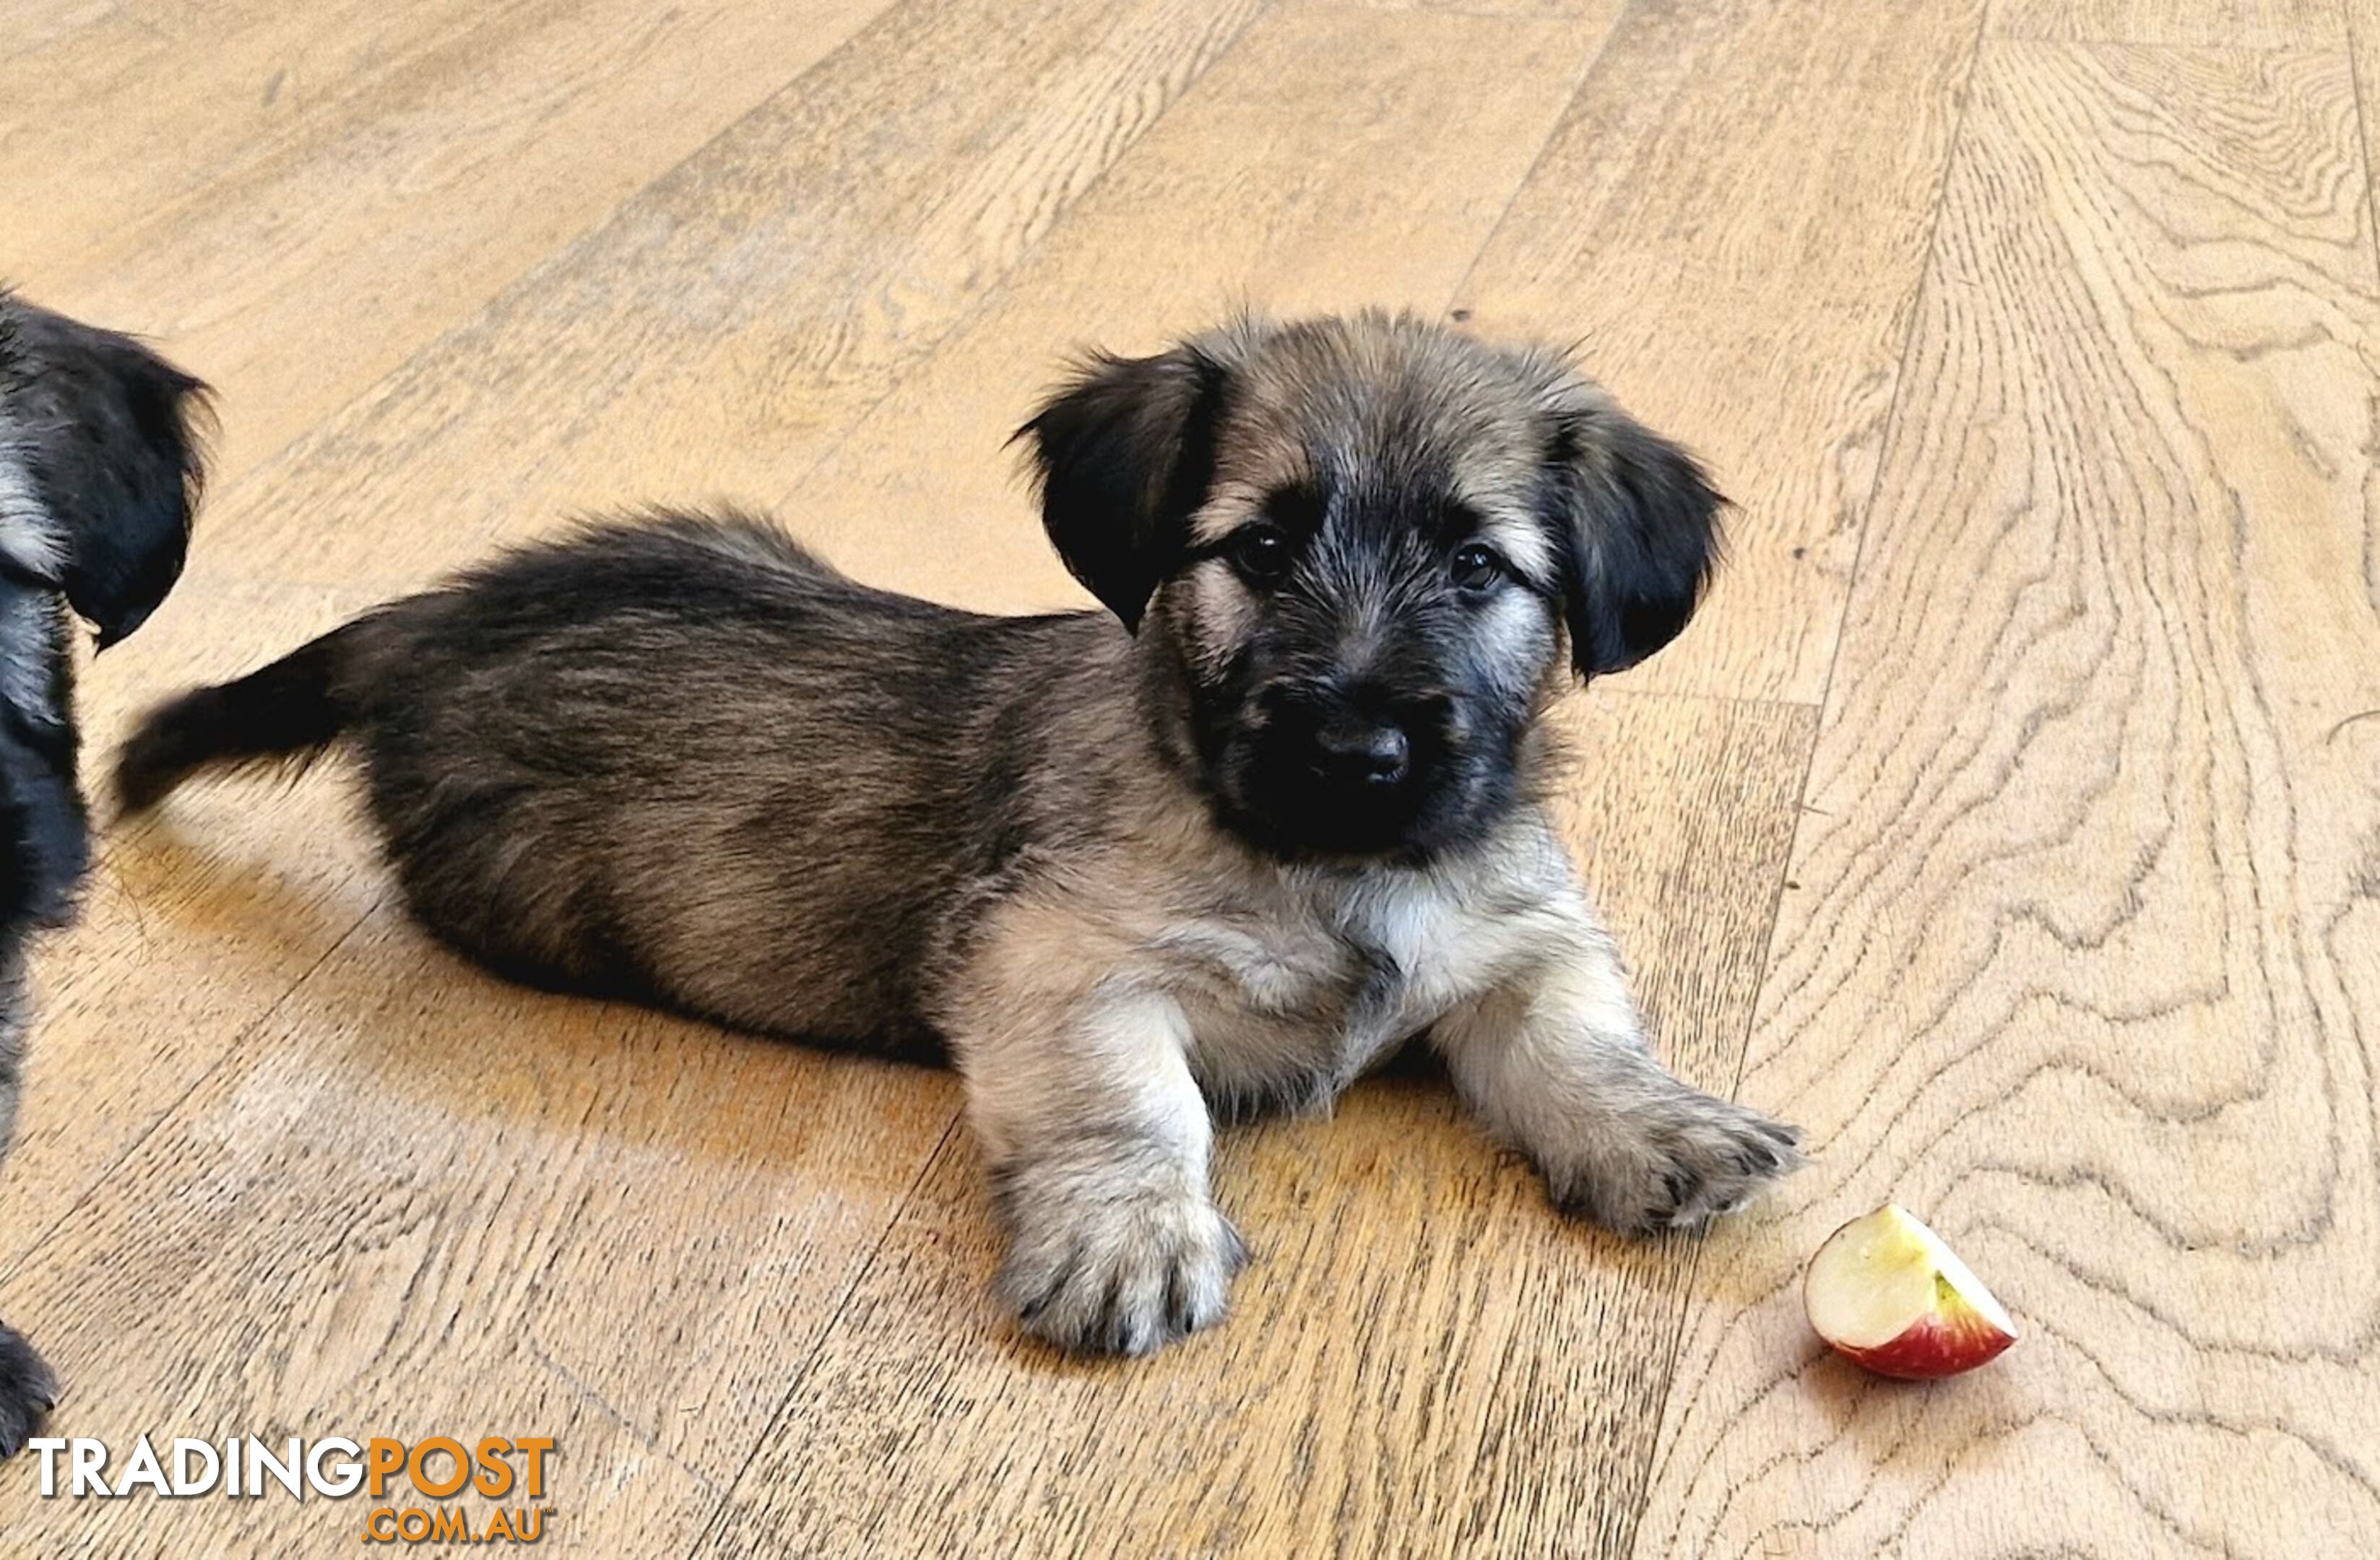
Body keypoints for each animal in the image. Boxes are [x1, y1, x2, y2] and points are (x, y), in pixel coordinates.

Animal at [125, 313, 1799, 1351]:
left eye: (1475, 570)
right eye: (1260, 551)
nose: (1358, 748)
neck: (1324, 870)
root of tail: (425, 623)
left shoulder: (1524, 939)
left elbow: (1580, 1035)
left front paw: (1659, 1129)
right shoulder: (1055, 970)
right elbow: (1136, 1107)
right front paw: (1131, 1238)